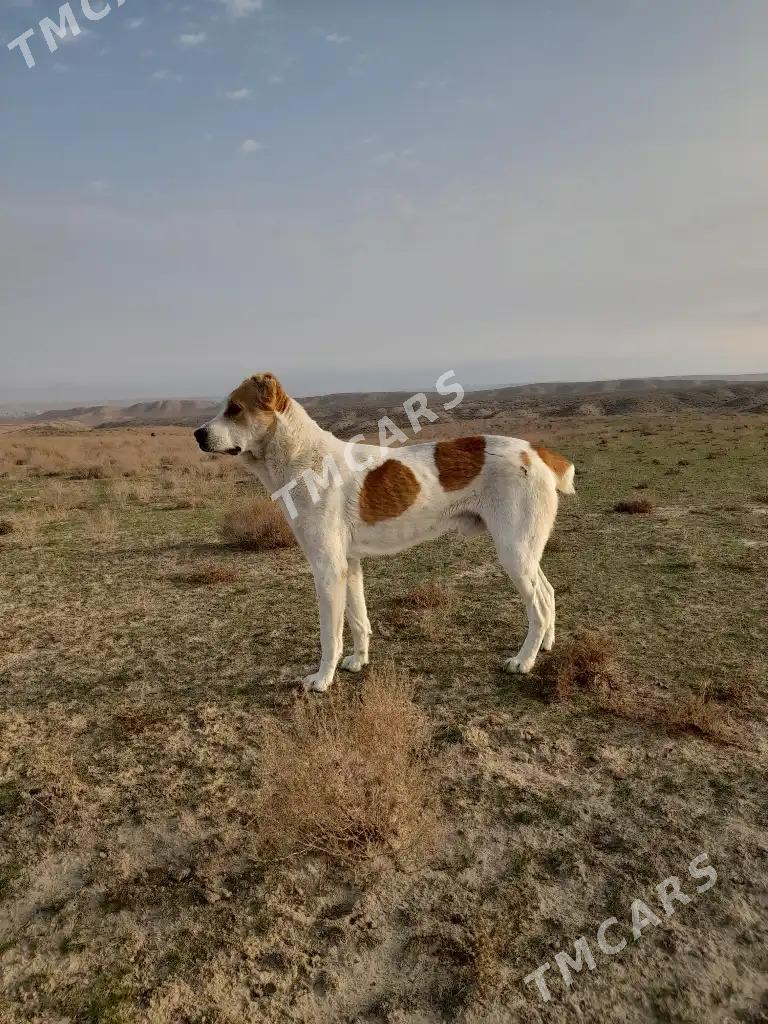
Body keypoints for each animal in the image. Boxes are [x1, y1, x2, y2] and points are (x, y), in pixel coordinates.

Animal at [195, 372, 573, 692]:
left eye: (235, 409)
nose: (198, 434)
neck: (305, 459)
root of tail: (536, 451)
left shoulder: (327, 570)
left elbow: (330, 636)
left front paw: (323, 679)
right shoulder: (349, 566)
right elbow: (358, 620)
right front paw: (358, 662)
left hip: (513, 553)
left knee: (539, 606)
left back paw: (524, 661)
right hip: (525, 552)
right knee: (549, 593)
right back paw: (546, 645)